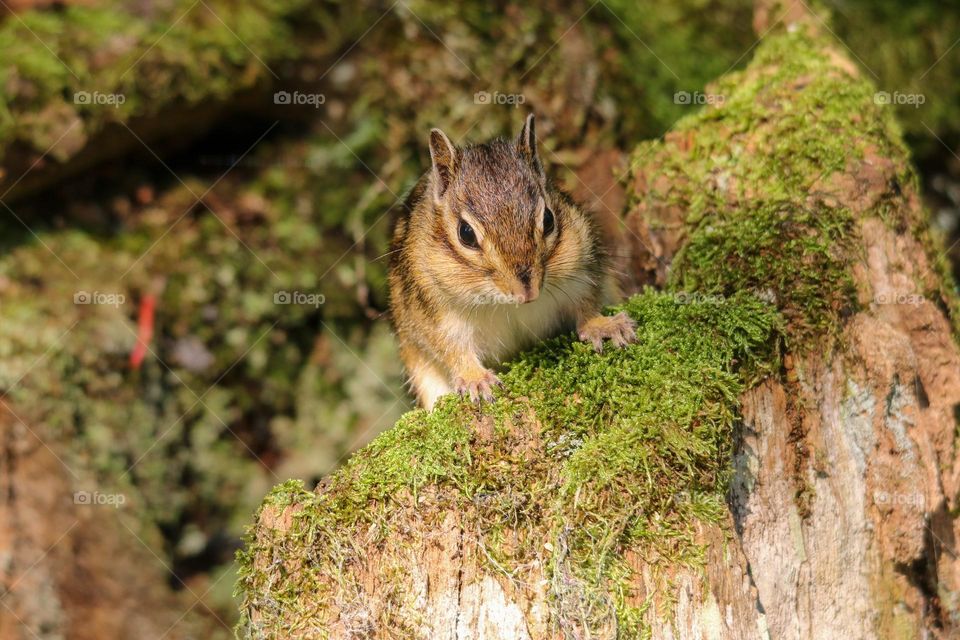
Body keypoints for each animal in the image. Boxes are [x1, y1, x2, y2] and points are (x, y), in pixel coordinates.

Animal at [388, 114, 636, 409]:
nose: (527, 292)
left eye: (549, 219)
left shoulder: (581, 269)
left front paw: (602, 325)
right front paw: (475, 378)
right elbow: (452, 349)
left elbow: (586, 305)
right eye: (466, 233)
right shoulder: (433, 313)